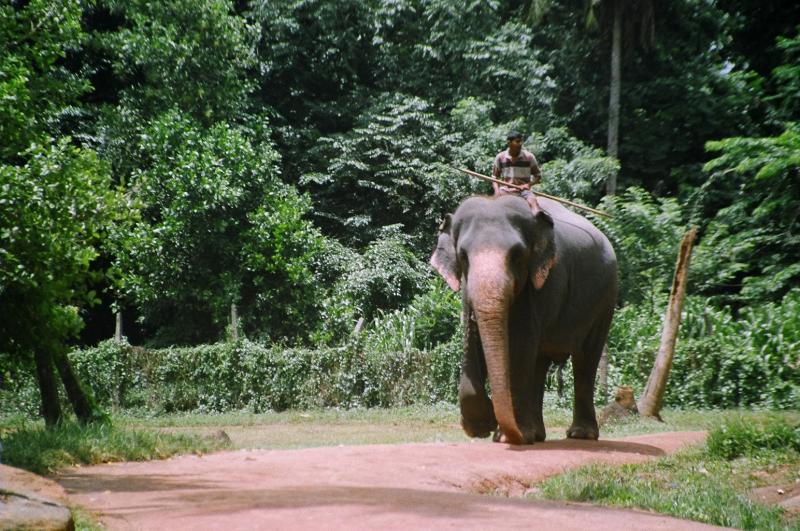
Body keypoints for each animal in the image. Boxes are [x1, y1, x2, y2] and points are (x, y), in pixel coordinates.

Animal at [430, 194, 617, 445]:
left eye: (517, 255)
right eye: (463, 256)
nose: (495, 429)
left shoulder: (542, 284)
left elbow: (520, 344)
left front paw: (505, 437)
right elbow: (471, 338)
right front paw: (480, 428)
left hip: (606, 299)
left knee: (585, 359)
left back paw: (579, 435)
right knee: (540, 361)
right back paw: (537, 435)